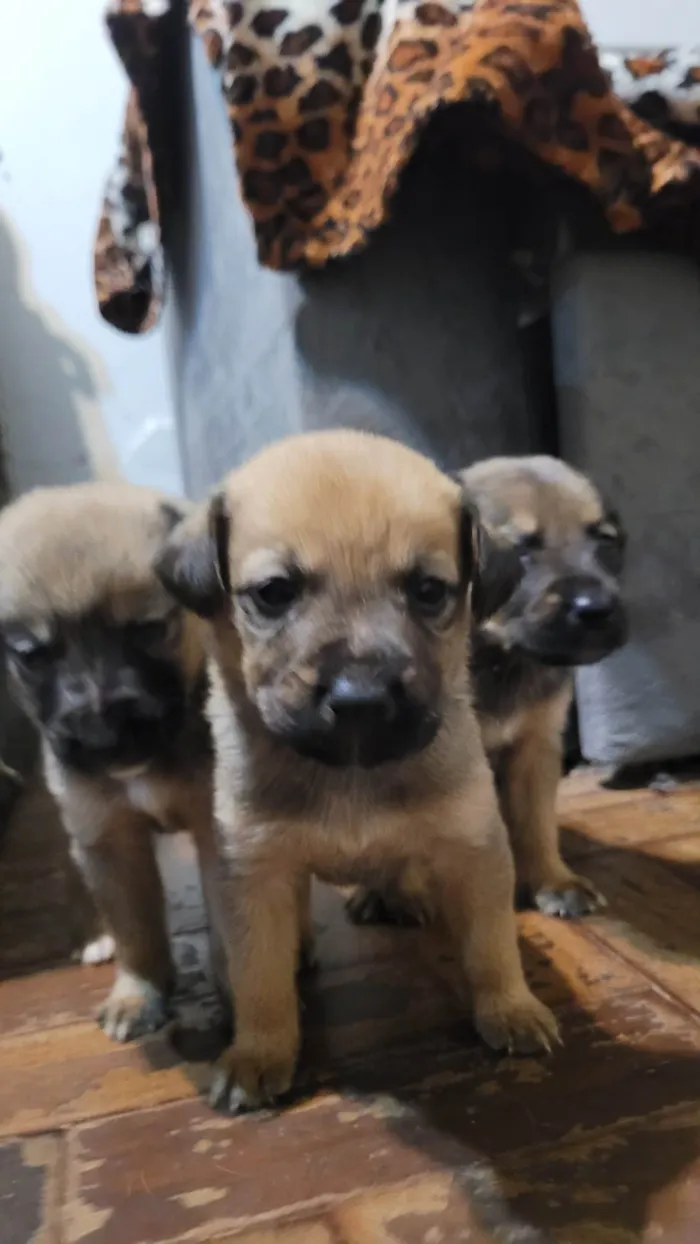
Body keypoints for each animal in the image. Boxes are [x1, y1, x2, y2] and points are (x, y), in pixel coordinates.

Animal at [0, 482, 217, 1039]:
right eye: (32, 656)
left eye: (146, 630)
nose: (102, 737)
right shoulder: (108, 836)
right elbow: (135, 930)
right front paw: (138, 993)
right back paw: (94, 936)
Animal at [157, 430, 559, 1119]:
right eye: (273, 593)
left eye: (429, 591)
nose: (361, 699)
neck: (349, 774)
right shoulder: (254, 871)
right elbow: (259, 975)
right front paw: (258, 1053)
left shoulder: (475, 849)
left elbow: (491, 944)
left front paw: (511, 1008)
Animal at [353, 457, 626, 925]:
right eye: (519, 551)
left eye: (605, 542)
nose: (597, 610)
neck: (497, 659)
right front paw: (404, 891)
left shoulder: (536, 746)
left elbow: (536, 822)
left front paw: (554, 880)